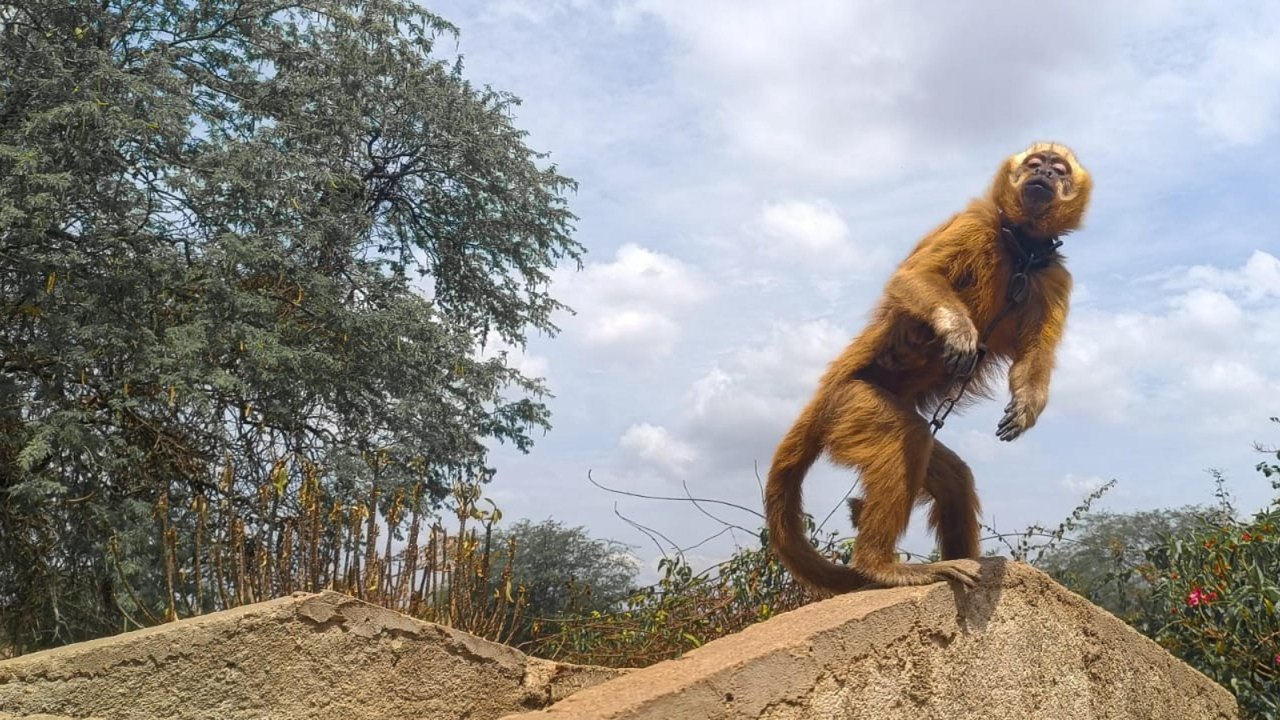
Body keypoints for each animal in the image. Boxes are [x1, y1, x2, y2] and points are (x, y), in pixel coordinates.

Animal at [765, 142, 1091, 594]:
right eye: (1034, 164)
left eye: (1057, 170)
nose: (1042, 173)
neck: (1021, 250)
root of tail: (824, 395)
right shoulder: (975, 224)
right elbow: (912, 277)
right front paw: (958, 330)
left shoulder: (1054, 273)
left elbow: (1035, 356)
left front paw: (1028, 404)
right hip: (853, 402)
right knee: (909, 435)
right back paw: (880, 567)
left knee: (953, 476)